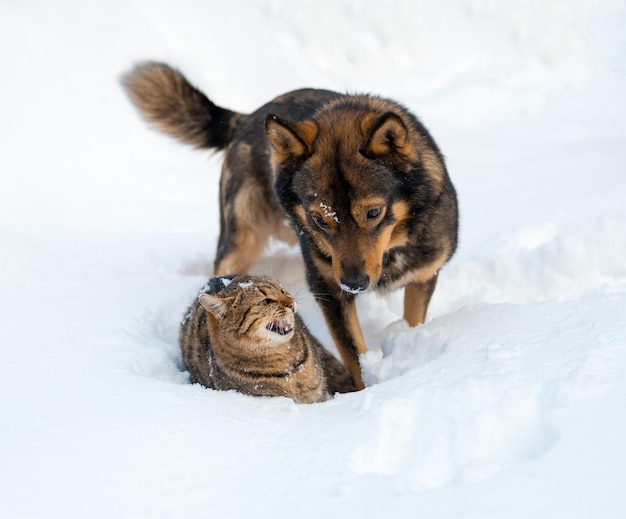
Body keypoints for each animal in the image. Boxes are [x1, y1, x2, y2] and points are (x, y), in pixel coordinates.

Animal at [122, 62, 456, 390]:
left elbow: (413, 322)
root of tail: (246, 118)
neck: (391, 248)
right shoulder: (328, 288)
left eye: (374, 212)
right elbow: (354, 356)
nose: (354, 284)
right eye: (319, 219)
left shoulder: (424, 274)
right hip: (240, 238)